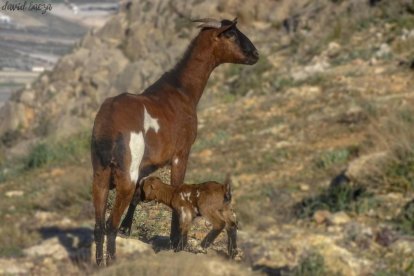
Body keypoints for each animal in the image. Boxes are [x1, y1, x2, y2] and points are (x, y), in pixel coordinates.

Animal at [92, 17, 258, 266]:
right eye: (230, 33)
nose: (255, 54)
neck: (181, 90)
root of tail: (109, 124)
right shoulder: (181, 154)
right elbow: (177, 190)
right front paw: (176, 243)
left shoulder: (145, 166)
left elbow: (138, 196)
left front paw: (128, 229)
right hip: (125, 173)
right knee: (110, 224)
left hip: (100, 174)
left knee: (99, 225)